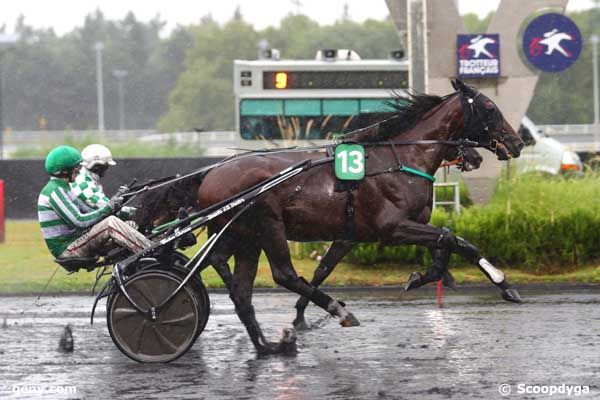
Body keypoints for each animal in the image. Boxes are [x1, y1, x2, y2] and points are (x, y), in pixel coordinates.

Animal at [138, 79, 524, 354]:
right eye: (490, 108)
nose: (517, 143)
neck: (399, 159)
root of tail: (210, 173)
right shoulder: (392, 228)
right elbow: (451, 238)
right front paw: (498, 283)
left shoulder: (365, 231)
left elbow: (447, 243)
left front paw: (428, 277)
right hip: (266, 224)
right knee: (281, 273)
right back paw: (337, 311)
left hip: (245, 236)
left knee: (239, 288)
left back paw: (267, 346)